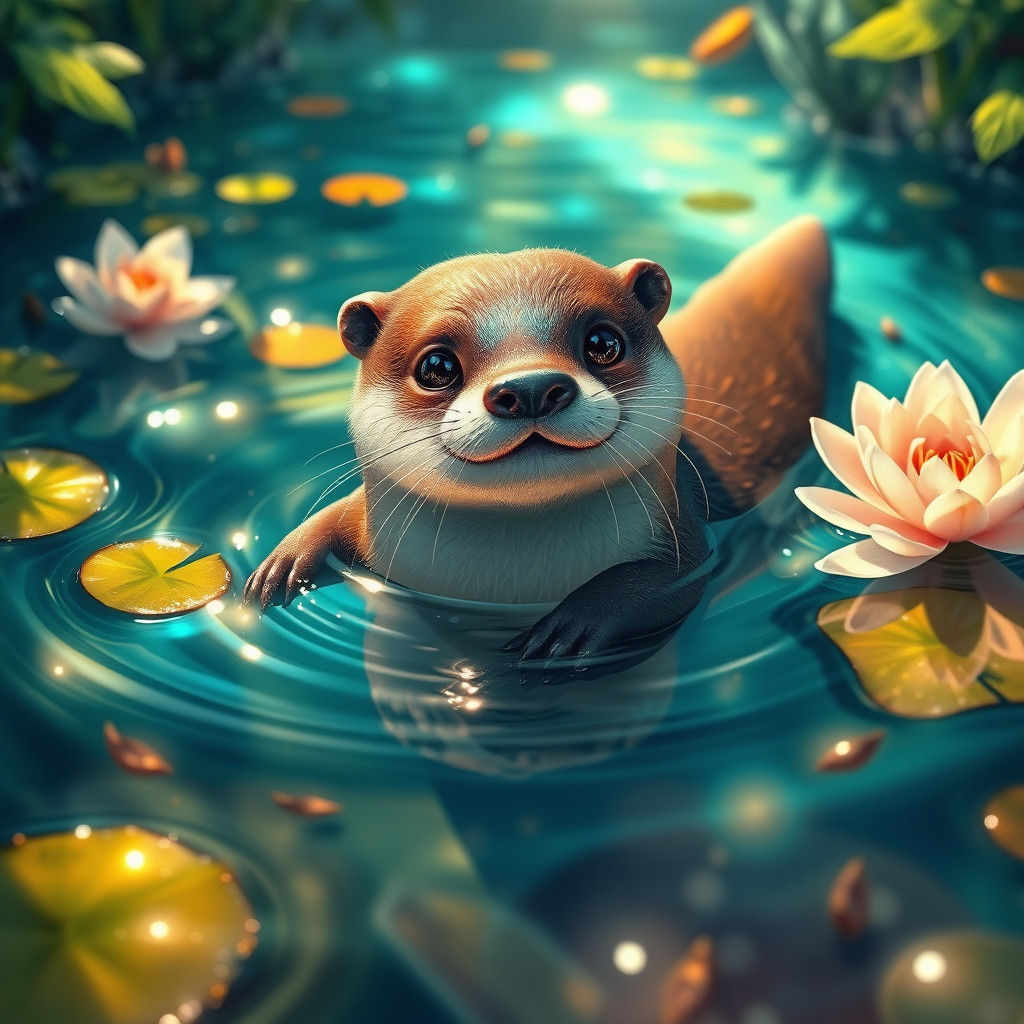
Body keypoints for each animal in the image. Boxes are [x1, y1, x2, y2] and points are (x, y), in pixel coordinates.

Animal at [244, 216, 830, 663]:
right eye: (436, 365)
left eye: (603, 343)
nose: (529, 388)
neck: (508, 583)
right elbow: (339, 515)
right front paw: (284, 562)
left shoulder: (689, 542)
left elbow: (668, 581)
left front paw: (572, 625)